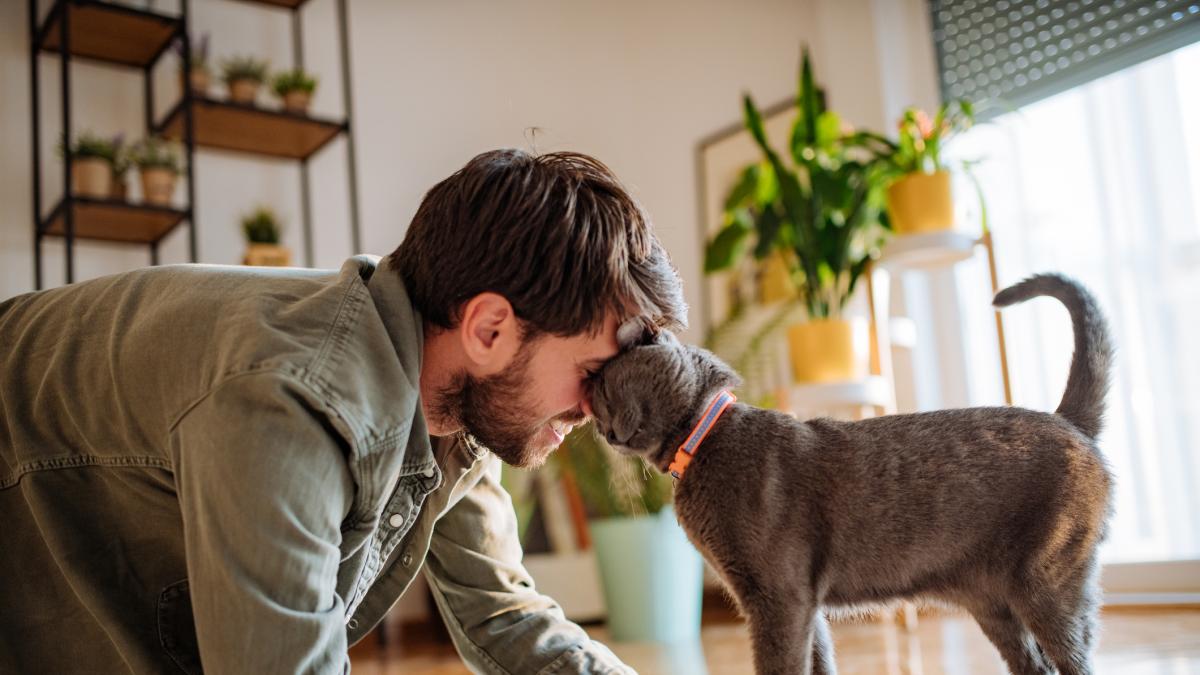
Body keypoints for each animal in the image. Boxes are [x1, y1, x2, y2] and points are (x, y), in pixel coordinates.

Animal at [590, 273, 1113, 672]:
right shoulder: (804, 606)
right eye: (593, 408)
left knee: (1073, 659)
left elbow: (780, 666)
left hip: (1047, 582)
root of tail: (1067, 420)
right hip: (996, 606)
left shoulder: (778, 598)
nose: (602, 430)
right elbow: (818, 662)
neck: (703, 441)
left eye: (603, 391)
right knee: (1036, 665)